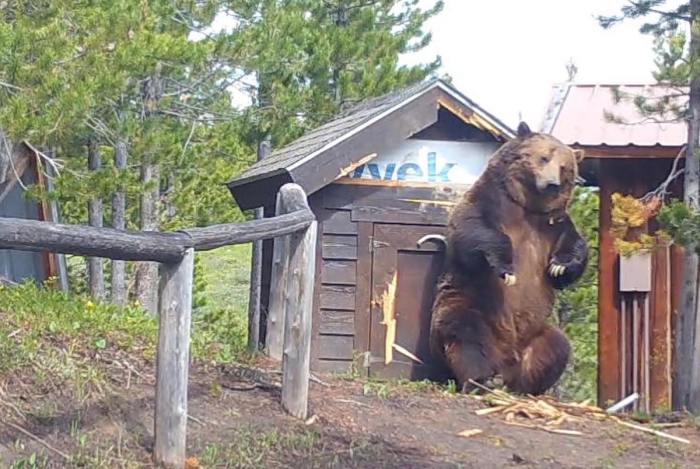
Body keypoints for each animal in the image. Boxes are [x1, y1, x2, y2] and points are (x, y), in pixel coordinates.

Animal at [424, 121, 588, 395]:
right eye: (544, 157)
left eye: (564, 166)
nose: (552, 184)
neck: (527, 206)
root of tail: (507, 362)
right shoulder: (491, 204)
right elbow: (473, 232)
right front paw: (507, 268)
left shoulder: (553, 225)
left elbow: (574, 247)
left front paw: (560, 266)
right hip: (468, 304)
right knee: (467, 334)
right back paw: (483, 380)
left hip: (535, 330)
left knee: (556, 347)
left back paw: (526, 387)